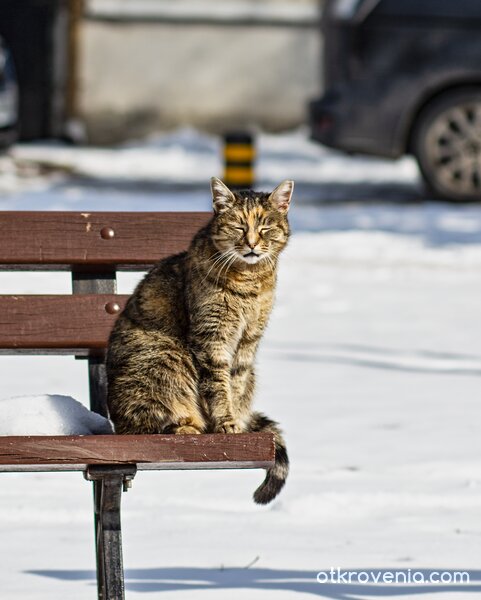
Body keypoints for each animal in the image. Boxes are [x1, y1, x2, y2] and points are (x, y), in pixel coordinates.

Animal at [106, 176, 292, 504]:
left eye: (265, 226)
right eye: (239, 226)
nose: (252, 244)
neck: (251, 282)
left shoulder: (248, 342)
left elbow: (234, 385)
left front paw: (234, 426)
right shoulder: (211, 338)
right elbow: (217, 386)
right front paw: (226, 424)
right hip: (163, 354)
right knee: (147, 424)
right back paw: (184, 428)